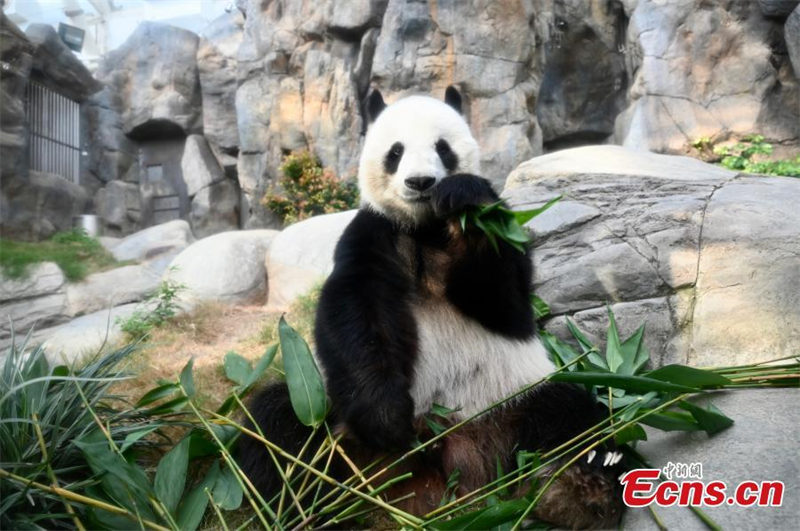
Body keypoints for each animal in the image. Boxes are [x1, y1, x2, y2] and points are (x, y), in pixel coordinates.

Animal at [238, 87, 624, 528]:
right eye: (395, 151)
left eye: (443, 148)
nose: (421, 182)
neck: (424, 229)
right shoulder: (373, 234)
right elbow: (354, 316)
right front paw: (386, 419)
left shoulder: (501, 240)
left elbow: (504, 297)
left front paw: (465, 201)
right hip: (327, 414)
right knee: (276, 428)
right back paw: (309, 507)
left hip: (512, 398)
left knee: (574, 417)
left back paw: (577, 493)